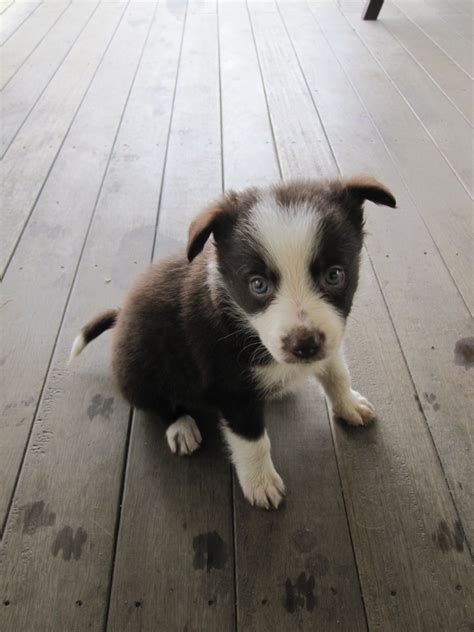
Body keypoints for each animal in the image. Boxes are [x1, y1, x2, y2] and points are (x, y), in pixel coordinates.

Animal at [70, 177, 396, 508]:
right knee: (159, 404)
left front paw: (348, 404)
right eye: (258, 285)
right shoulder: (231, 388)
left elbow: (337, 373)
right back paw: (181, 426)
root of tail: (121, 315)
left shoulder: (328, 342)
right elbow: (253, 441)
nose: (304, 347)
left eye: (334, 275)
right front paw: (261, 483)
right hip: (138, 372)